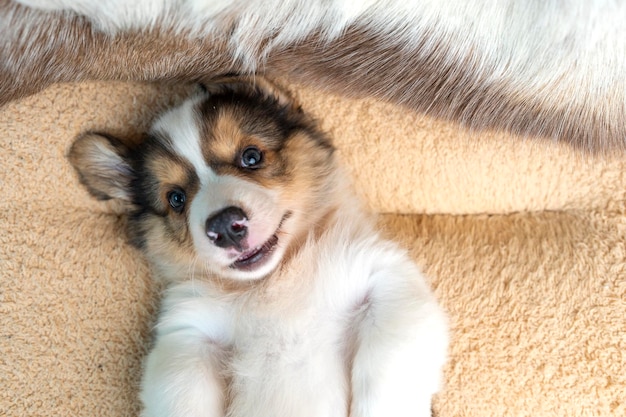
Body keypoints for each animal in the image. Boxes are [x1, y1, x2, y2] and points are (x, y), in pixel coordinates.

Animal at [69, 76, 448, 414]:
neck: (274, 281)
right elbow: (182, 390)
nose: (225, 226)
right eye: (176, 198)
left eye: (251, 157)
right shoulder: (187, 333)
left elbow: (388, 362)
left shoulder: (386, 277)